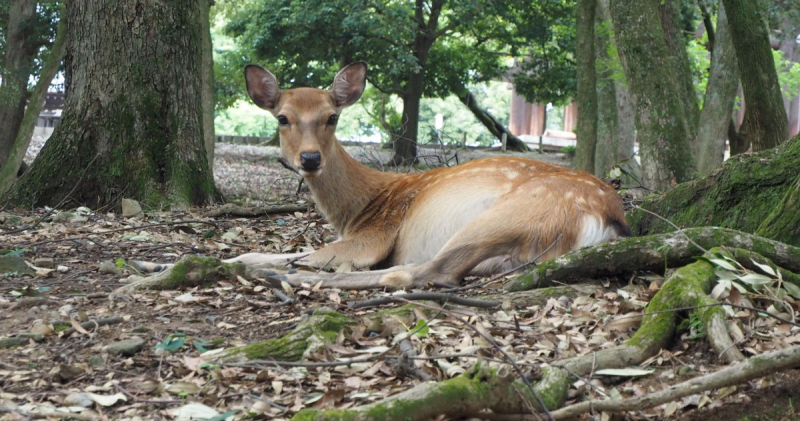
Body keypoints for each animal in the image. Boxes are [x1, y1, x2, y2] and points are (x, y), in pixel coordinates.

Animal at [205, 61, 632, 292]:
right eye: (282, 118)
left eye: (332, 117)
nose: (310, 158)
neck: (357, 210)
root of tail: (610, 220)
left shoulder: (372, 236)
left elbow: (313, 254)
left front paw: (251, 264)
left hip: (513, 215)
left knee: (424, 271)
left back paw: (285, 276)